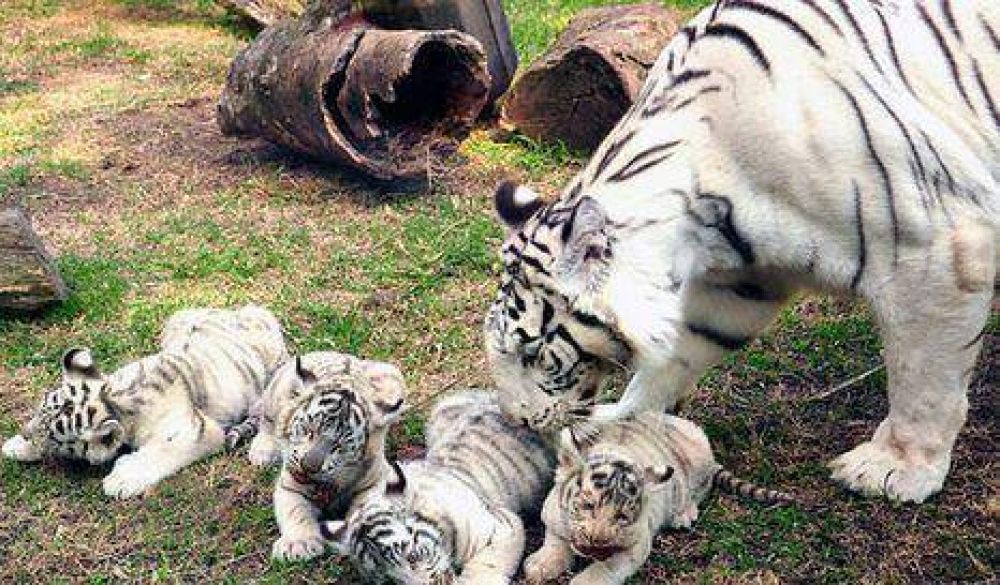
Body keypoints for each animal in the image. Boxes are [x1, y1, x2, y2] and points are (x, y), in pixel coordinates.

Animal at [1, 305, 288, 498]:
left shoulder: (195, 429)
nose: (25, 434)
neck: (112, 398)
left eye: (52, 437)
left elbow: (163, 451)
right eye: (41, 409)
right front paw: (14, 446)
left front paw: (121, 479)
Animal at [241, 351, 409, 562]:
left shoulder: (375, 479)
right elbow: (296, 511)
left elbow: (366, 506)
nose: (309, 466)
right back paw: (263, 452)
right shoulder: (290, 484)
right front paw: (298, 545)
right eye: (309, 431)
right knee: (267, 421)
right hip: (276, 393)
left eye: (339, 446)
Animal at [485, 0, 1000, 504]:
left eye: (532, 352)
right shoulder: (740, 283)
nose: (518, 421)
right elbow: (675, 357)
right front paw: (619, 425)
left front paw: (896, 468)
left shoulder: (935, 251)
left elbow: (922, 378)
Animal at [524, 413, 793, 585]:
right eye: (588, 506)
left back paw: (684, 515)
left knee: (697, 491)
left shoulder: (635, 546)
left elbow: (604, 568)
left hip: (693, 471)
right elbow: (556, 541)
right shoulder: (552, 515)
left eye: (622, 517)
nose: (598, 541)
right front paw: (539, 566)